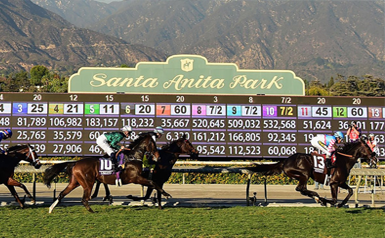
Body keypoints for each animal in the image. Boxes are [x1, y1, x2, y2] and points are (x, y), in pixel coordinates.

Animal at [42, 133, 171, 213]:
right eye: (153, 144)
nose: (158, 156)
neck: (132, 157)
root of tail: (75, 163)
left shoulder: (139, 177)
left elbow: (153, 184)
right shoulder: (135, 178)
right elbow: (153, 183)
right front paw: (166, 194)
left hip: (75, 182)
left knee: (62, 194)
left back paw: (51, 209)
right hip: (87, 182)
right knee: (84, 198)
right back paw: (91, 211)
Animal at [244, 139, 374, 207]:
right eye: (368, 147)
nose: (374, 155)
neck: (343, 160)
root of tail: (286, 160)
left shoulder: (341, 182)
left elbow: (351, 191)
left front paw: (341, 204)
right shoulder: (334, 183)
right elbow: (334, 200)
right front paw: (326, 201)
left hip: (302, 176)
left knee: (302, 189)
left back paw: (317, 198)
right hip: (304, 174)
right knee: (300, 188)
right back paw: (318, 197)